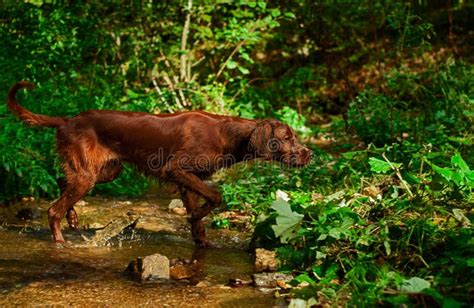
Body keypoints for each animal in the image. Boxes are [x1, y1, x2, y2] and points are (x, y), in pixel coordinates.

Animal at [7, 80, 312, 247]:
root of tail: (67, 120)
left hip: (104, 171)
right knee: (52, 209)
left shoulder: (188, 179)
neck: (229, 135)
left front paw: (200, 237)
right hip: (88, 176)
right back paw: (60, 240)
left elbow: (201, 216)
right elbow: (216, 196)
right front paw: (195, 217)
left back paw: (73, 217)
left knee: (62, 182)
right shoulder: (177, 168)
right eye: (287, 137)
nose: (310, 154)